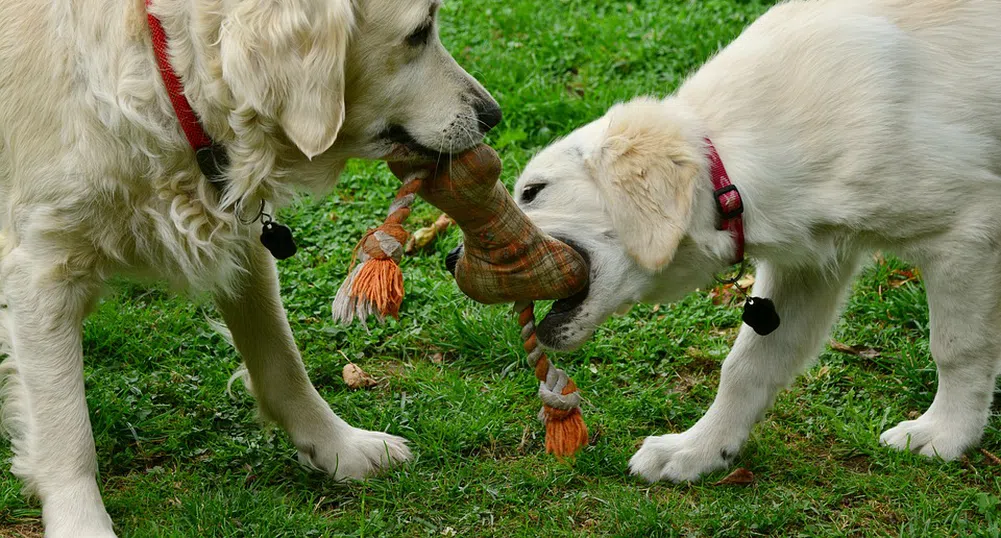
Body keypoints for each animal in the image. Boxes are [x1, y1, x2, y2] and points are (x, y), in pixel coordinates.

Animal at [0, 0, 500, 532]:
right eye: (419, 32)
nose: (493, 114)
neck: (165, 73)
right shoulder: (43, 271)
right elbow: (65, 426)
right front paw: (81, 523)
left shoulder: (245, 244)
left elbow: (282, 363)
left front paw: (340, 447)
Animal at [516, 0, 1001, 482]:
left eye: (533, 191)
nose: (478, 256)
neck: (729, 171)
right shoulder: (808, 266)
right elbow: (747, 366)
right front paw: (699, 450)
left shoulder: (966, 229)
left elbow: (957, 348)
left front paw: (946, 435)